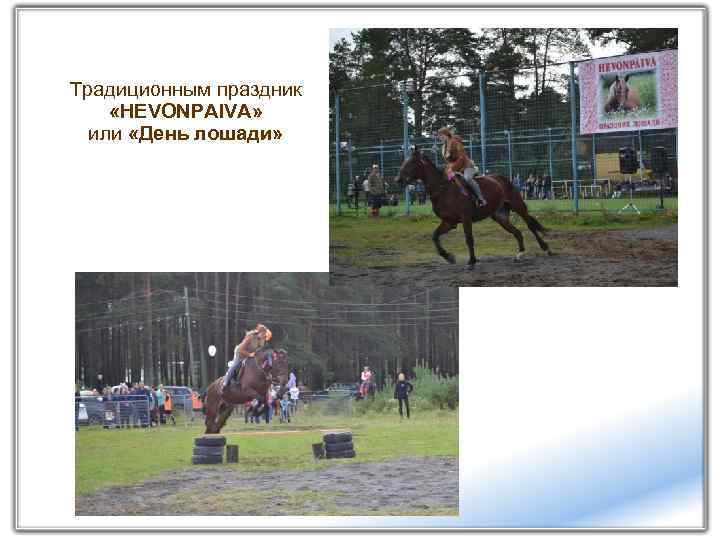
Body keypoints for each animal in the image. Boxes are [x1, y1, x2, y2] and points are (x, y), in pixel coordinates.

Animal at [395, 147, 551, 267]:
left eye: (410, 163)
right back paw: (520, 253)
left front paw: (471, 261)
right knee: (517, 232)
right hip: (500, 216)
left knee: (530, 225)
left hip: (518, 206)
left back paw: (545, 248)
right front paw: (449, 257)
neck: (443, 189)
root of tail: (503, 179)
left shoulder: (465, 218)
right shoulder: (449, 222)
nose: (398, 180)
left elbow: (469, 239)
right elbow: (435, 236)